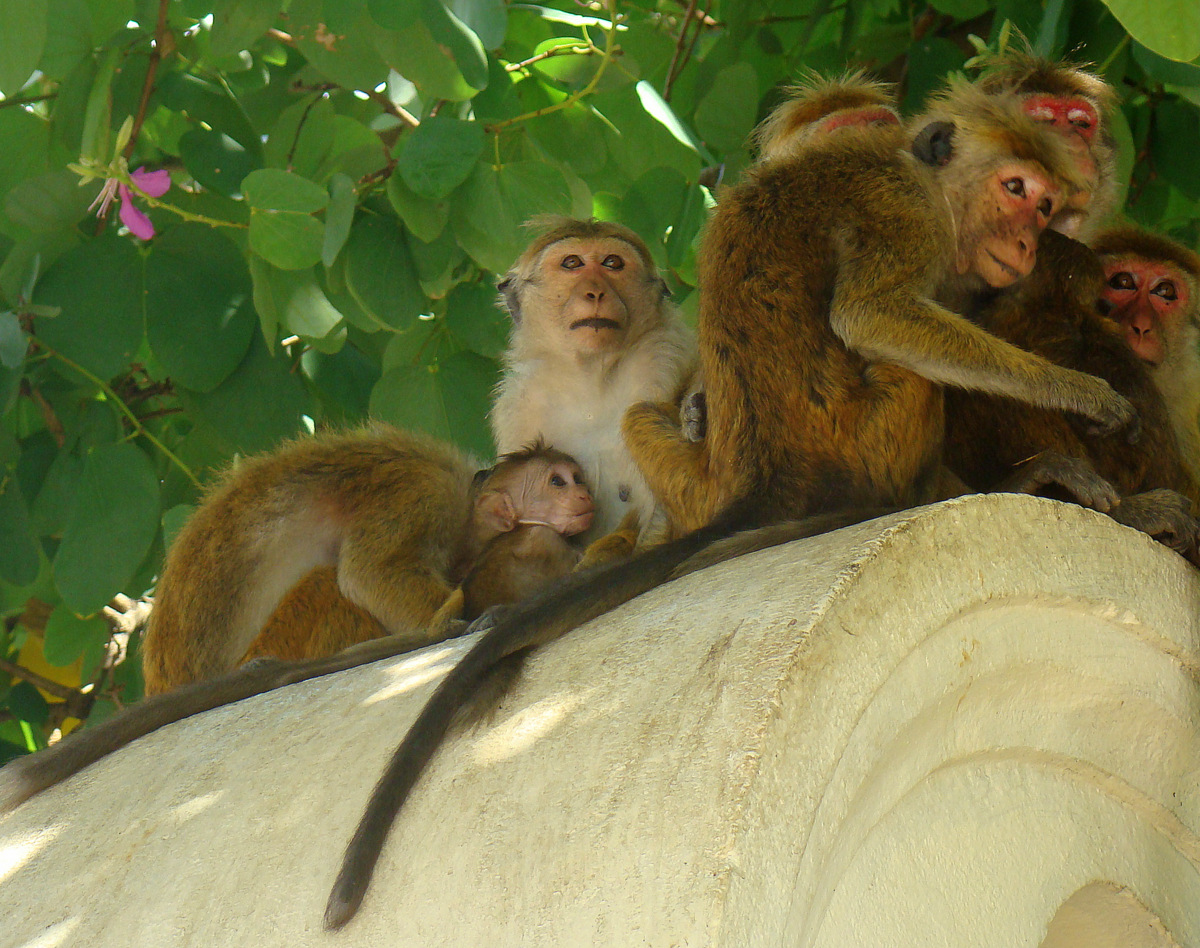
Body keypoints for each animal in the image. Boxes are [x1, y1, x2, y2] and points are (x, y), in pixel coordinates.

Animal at [142, 428, 594, 692]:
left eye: (578, 478)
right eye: (557, 482)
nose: (586, 495)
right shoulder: (423, 495)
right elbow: (368, 575)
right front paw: (459, 622)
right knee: (328, 583)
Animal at [490, 217, 697, 559]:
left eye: (612, 263)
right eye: (572, 263)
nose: (595, 292)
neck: (591, 382)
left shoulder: (661, 361)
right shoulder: (520, 407)